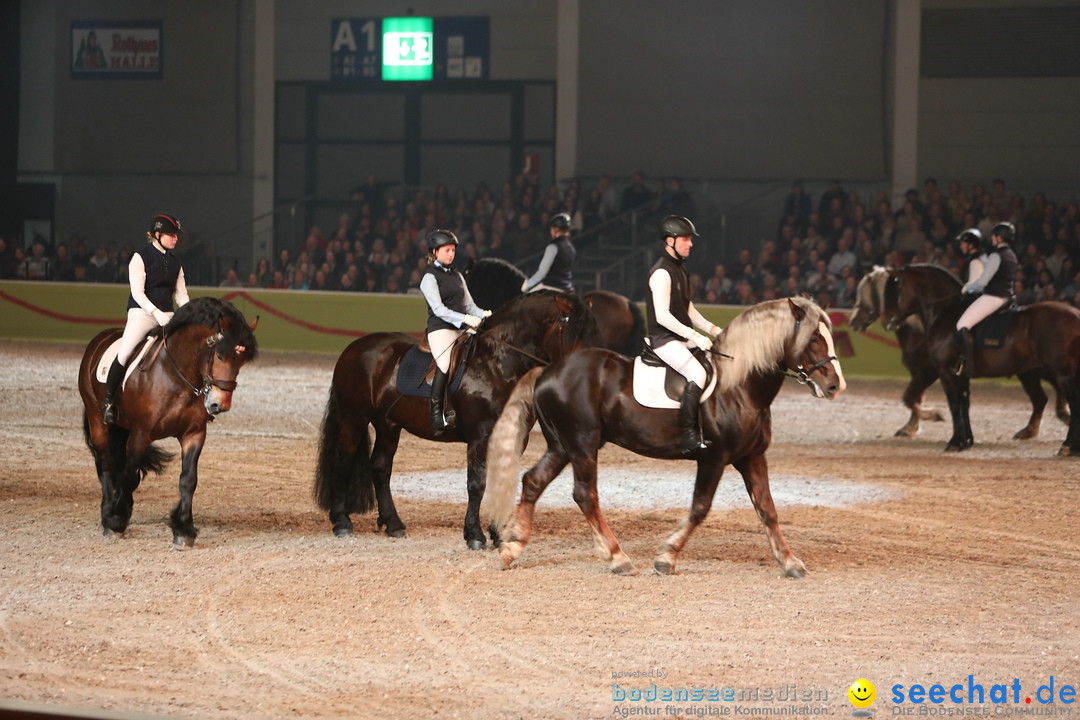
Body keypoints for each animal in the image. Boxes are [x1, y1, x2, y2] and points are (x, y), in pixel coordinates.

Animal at [78, 295, 259, 548]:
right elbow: (130, 474)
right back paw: (108, 514)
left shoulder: (194, 434)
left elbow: (188, 480)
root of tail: (99, 340)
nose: (219, 405)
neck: (177, 375)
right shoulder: (140, 433)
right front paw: (116, 521)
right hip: (98, 420)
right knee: (106, 463)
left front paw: (183, 530)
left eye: (241, 363)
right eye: (220, 356)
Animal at [313, 289, 604, 548]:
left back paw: (393, 524)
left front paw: (498, 534)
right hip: (353, 418)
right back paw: (342, 523)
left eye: (593, 331)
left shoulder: (511, 439)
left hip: (388, 425)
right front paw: (475, 536)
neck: (497, 363)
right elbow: (476, 484)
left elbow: (499, 482)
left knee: (380, 468)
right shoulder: (479, 437)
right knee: (342, 462)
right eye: (572, 331)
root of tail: (354, 348)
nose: (587, 371)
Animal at [486, 295, 846, 578]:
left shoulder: (751, 457)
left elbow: (767, 510)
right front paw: (666, 557)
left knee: (534, 481)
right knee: (585, 494)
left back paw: (512, 548)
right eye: (814, 339)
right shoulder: (714, 458)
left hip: (563, 446)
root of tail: (548, 370)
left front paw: (789, 562)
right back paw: (617, 557)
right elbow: (700, 508)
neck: (740, 387)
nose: (835, 386)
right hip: (582, 444)